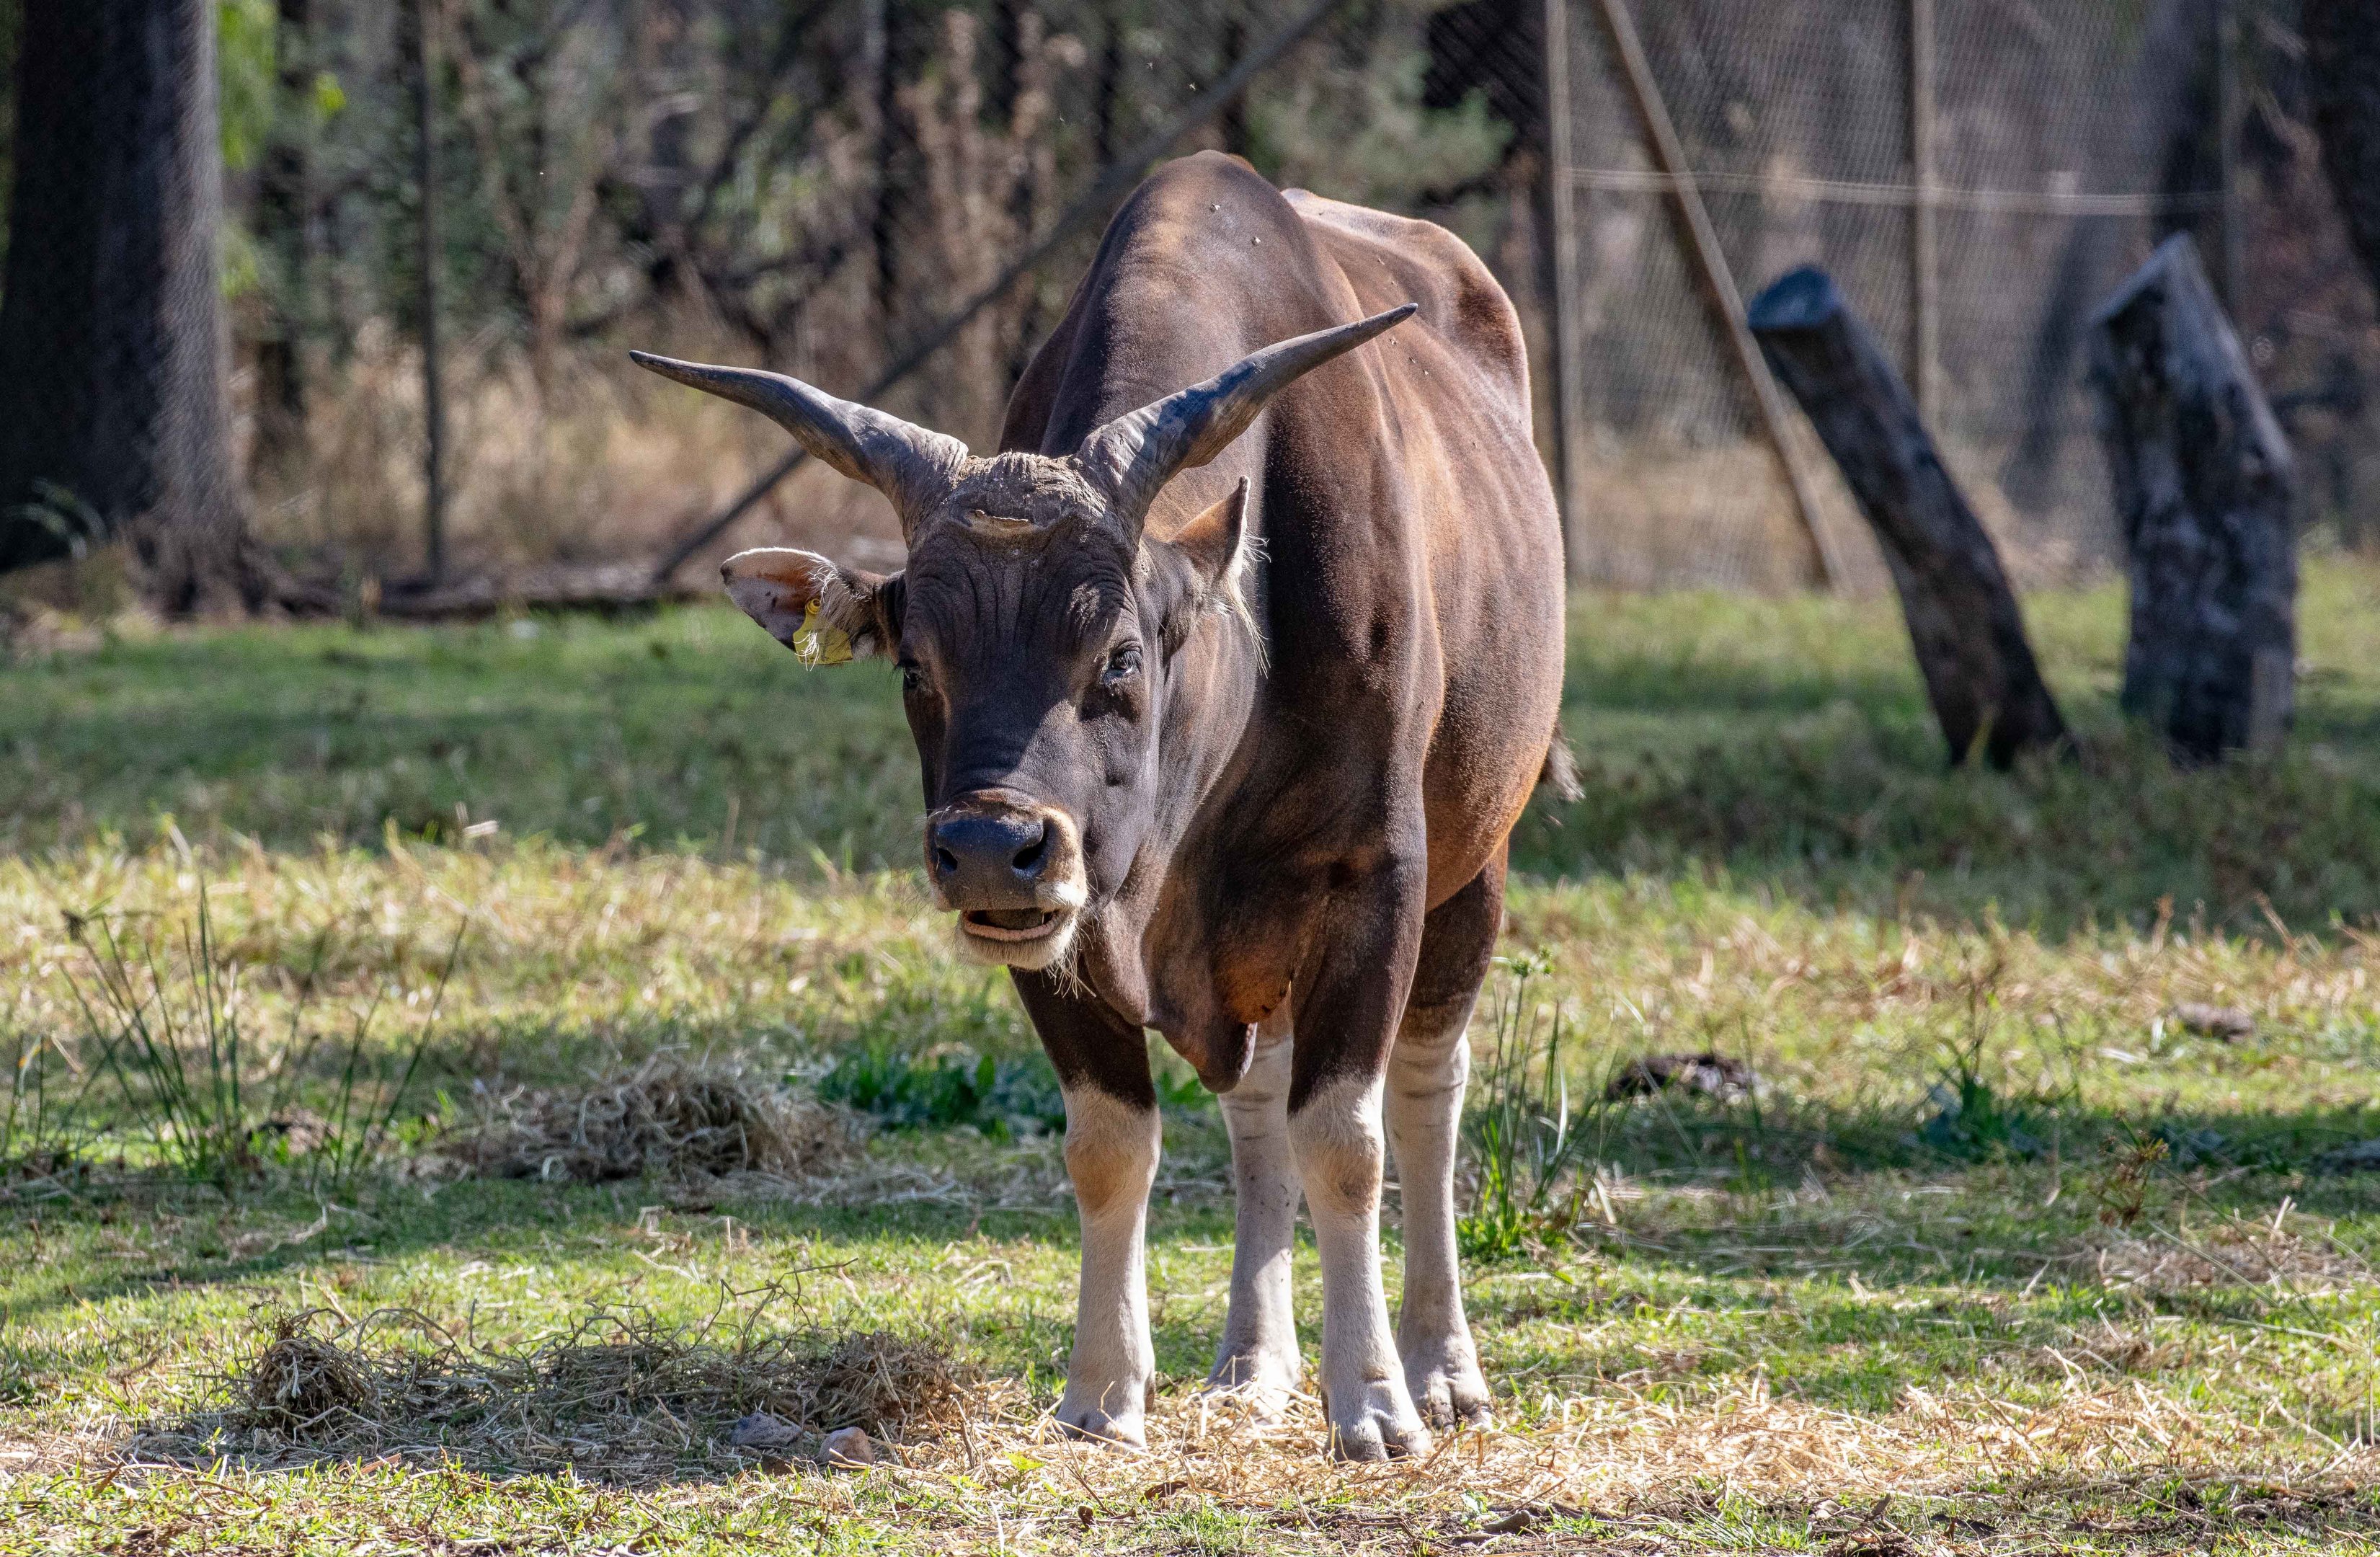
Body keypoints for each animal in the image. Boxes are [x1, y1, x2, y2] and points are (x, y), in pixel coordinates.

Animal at [632, 151, 1566, 1460]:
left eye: (1118, 656)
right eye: (915, 665)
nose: (989, 847)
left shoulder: (1372, 879)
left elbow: (1348, 1138)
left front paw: (1372, 1399)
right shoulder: (1065, 925)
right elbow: (1113, 1144)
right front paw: (1104, 1390)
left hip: (1476, 863)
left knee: (1429, 1089)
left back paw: (1438, 1363)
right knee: (1256, 1102)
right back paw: (1251, 1364)